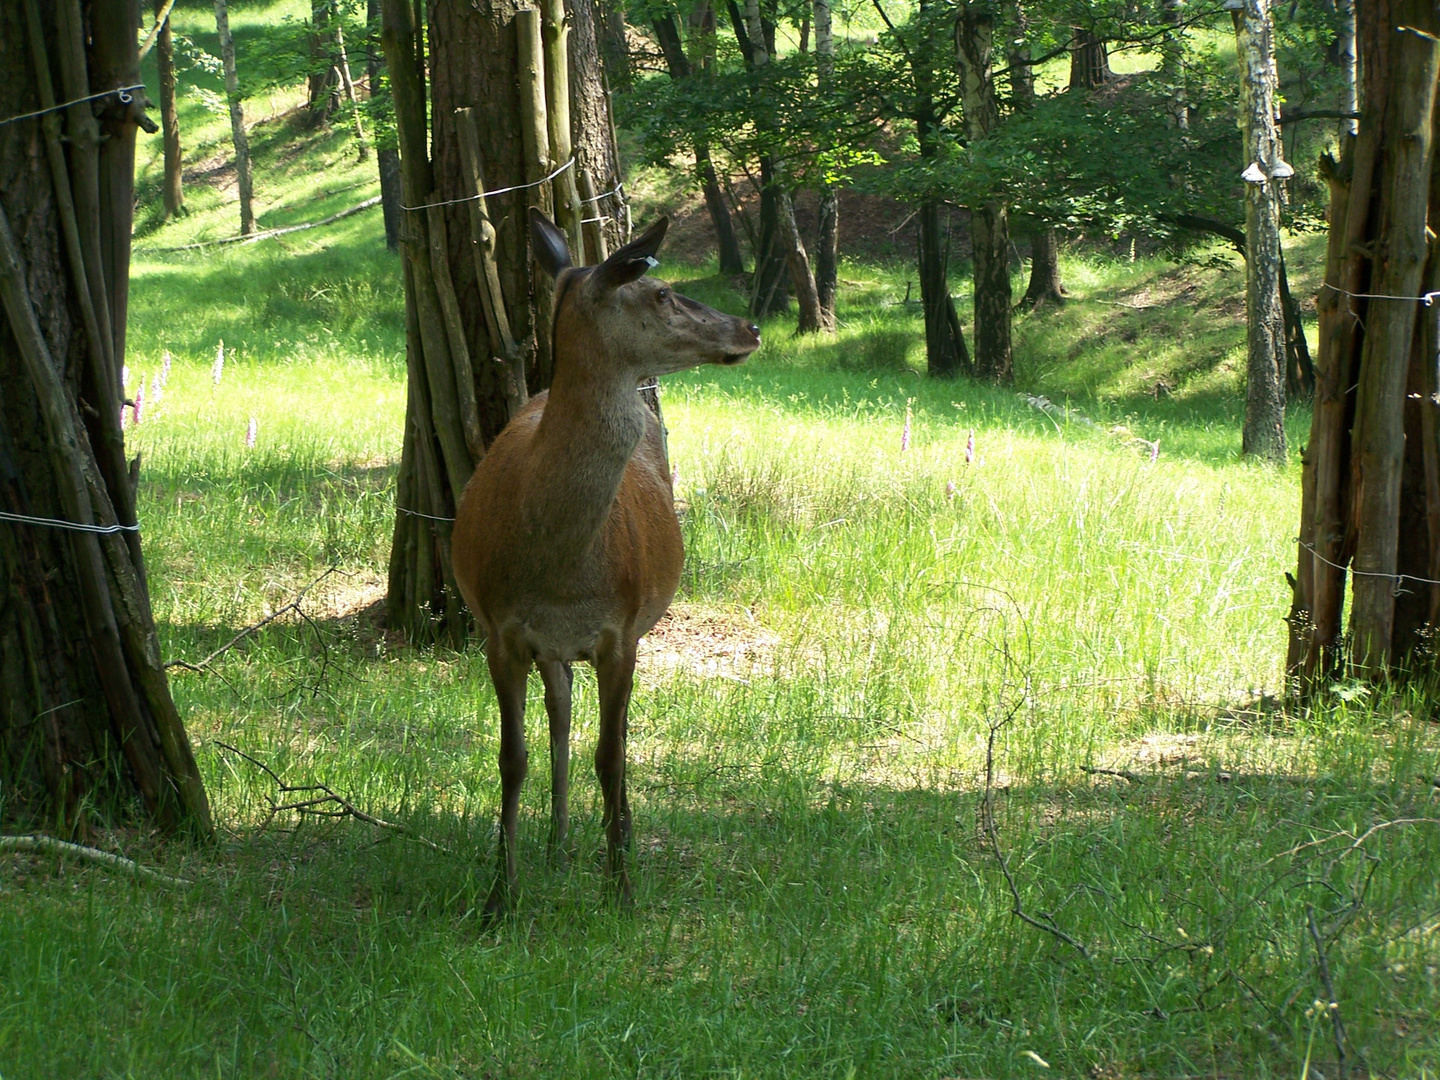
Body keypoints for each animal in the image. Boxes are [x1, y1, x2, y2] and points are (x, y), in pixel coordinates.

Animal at [452, 207, 766, 915]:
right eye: (661, 291)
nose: (750, 327)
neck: (560, 567)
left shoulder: (620, 631)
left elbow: (613, 756)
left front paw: (619, 887)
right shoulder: (499, 631)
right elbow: (513, 757)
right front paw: (499, 896)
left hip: (638, 625)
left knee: (608, 736)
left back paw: (612, 836)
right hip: (553, 649)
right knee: (561, 719)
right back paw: (557, 843)